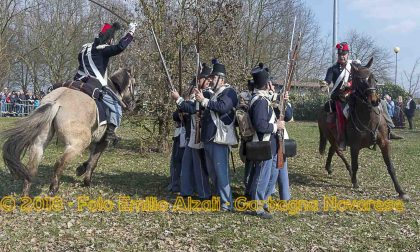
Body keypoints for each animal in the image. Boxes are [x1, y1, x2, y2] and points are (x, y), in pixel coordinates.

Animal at [1, 68, 135, 196]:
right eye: (133, 84)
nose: (132, 104)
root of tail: (57, 101)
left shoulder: (95, 141)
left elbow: (90, 159)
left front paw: (81, 169)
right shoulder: (102, 142)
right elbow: (93, 162)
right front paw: (87, 181)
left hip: (39, 143)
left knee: (32, 167)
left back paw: (26, 194)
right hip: (77, 144)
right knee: (60, 162)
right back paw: (53, 189)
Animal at [320, 58, 408, 200]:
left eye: (374, 78)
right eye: (360, 80)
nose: (374, 101)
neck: (369, 119)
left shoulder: (384, 143)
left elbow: (390, 166)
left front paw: (401, 191)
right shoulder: (355, 146)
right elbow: (355, 164)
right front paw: (355, 182)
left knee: (332, 151)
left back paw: (329, 168)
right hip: (332, 137)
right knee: (339, 153)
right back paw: (348, 171)